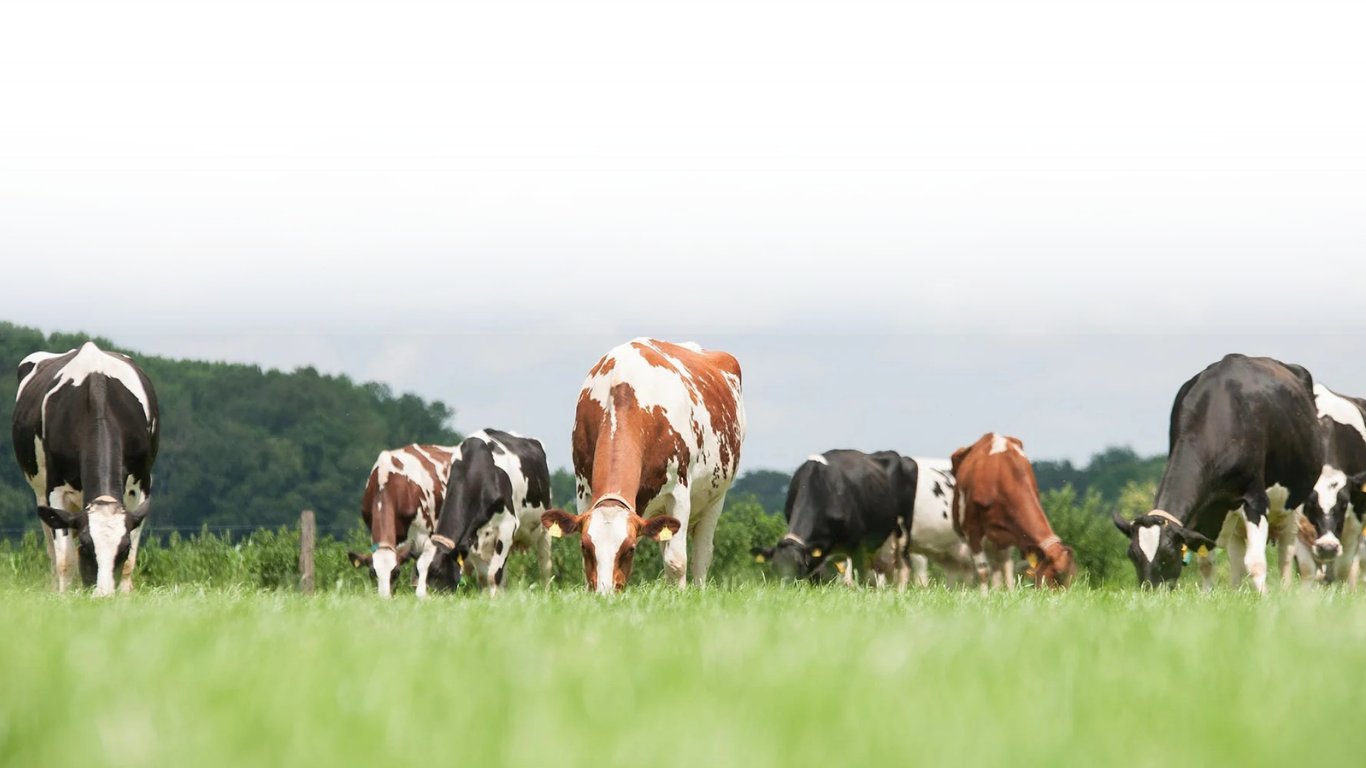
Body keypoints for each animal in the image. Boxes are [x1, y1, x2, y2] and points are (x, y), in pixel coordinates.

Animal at [12, 342, 160, 596]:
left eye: (123, 548)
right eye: (85, 546)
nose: (103, 594)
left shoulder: (142, 483)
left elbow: (130, 561)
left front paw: (125, 595)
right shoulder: (55, 489)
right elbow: (64, 559)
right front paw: (63, 597)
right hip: (40, 494)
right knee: (52, 549)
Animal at [420, 429, 555, 595]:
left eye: (437, 571)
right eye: (417, 571)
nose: (420, 598)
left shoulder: (507, 527)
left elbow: (493, 575)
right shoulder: (470, 537)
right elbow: (484, 577)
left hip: (545, 527)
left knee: (545, 566)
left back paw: (546, 591)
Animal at [540, 338, 745, 594]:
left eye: (630, 549)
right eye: (585, 547)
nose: (605, 594)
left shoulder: (679, 493)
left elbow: (676, 561)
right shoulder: (583, 491)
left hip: (715, 500)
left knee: (701, 556)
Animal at [952, 433, 1075, 589]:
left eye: (1069, 577)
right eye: (1055, 572)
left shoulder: (1014, 534)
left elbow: (1008, 568)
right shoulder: (972, 530)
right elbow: (983, 571)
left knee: (1001, 565)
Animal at [1111, 355, 1322, 592]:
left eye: (1168, 555)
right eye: (1132, 555)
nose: (1150, 592)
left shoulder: (1255, 500)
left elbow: (1256, 562)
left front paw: (1264, 597)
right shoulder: (1206, 510)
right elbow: (1207, 562)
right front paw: (1207, 596)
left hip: (1293, 504)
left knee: (1286, 552)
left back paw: (1285, 590)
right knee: (1237, 555)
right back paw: (1237, 590)